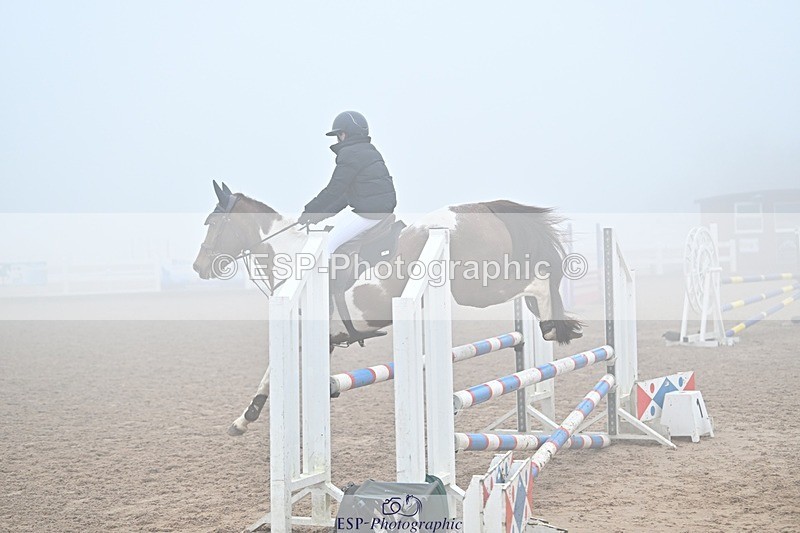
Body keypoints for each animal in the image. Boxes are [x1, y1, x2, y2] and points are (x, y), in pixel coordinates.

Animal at [193, 181, 583, 435]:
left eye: (211, 224)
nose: (199, 267)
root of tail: (481, 208)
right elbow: (279, 376)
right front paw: (247, 418)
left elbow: (270, 373)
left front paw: (245, 418)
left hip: (477, 288)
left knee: (537, 280)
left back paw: (552, 326)